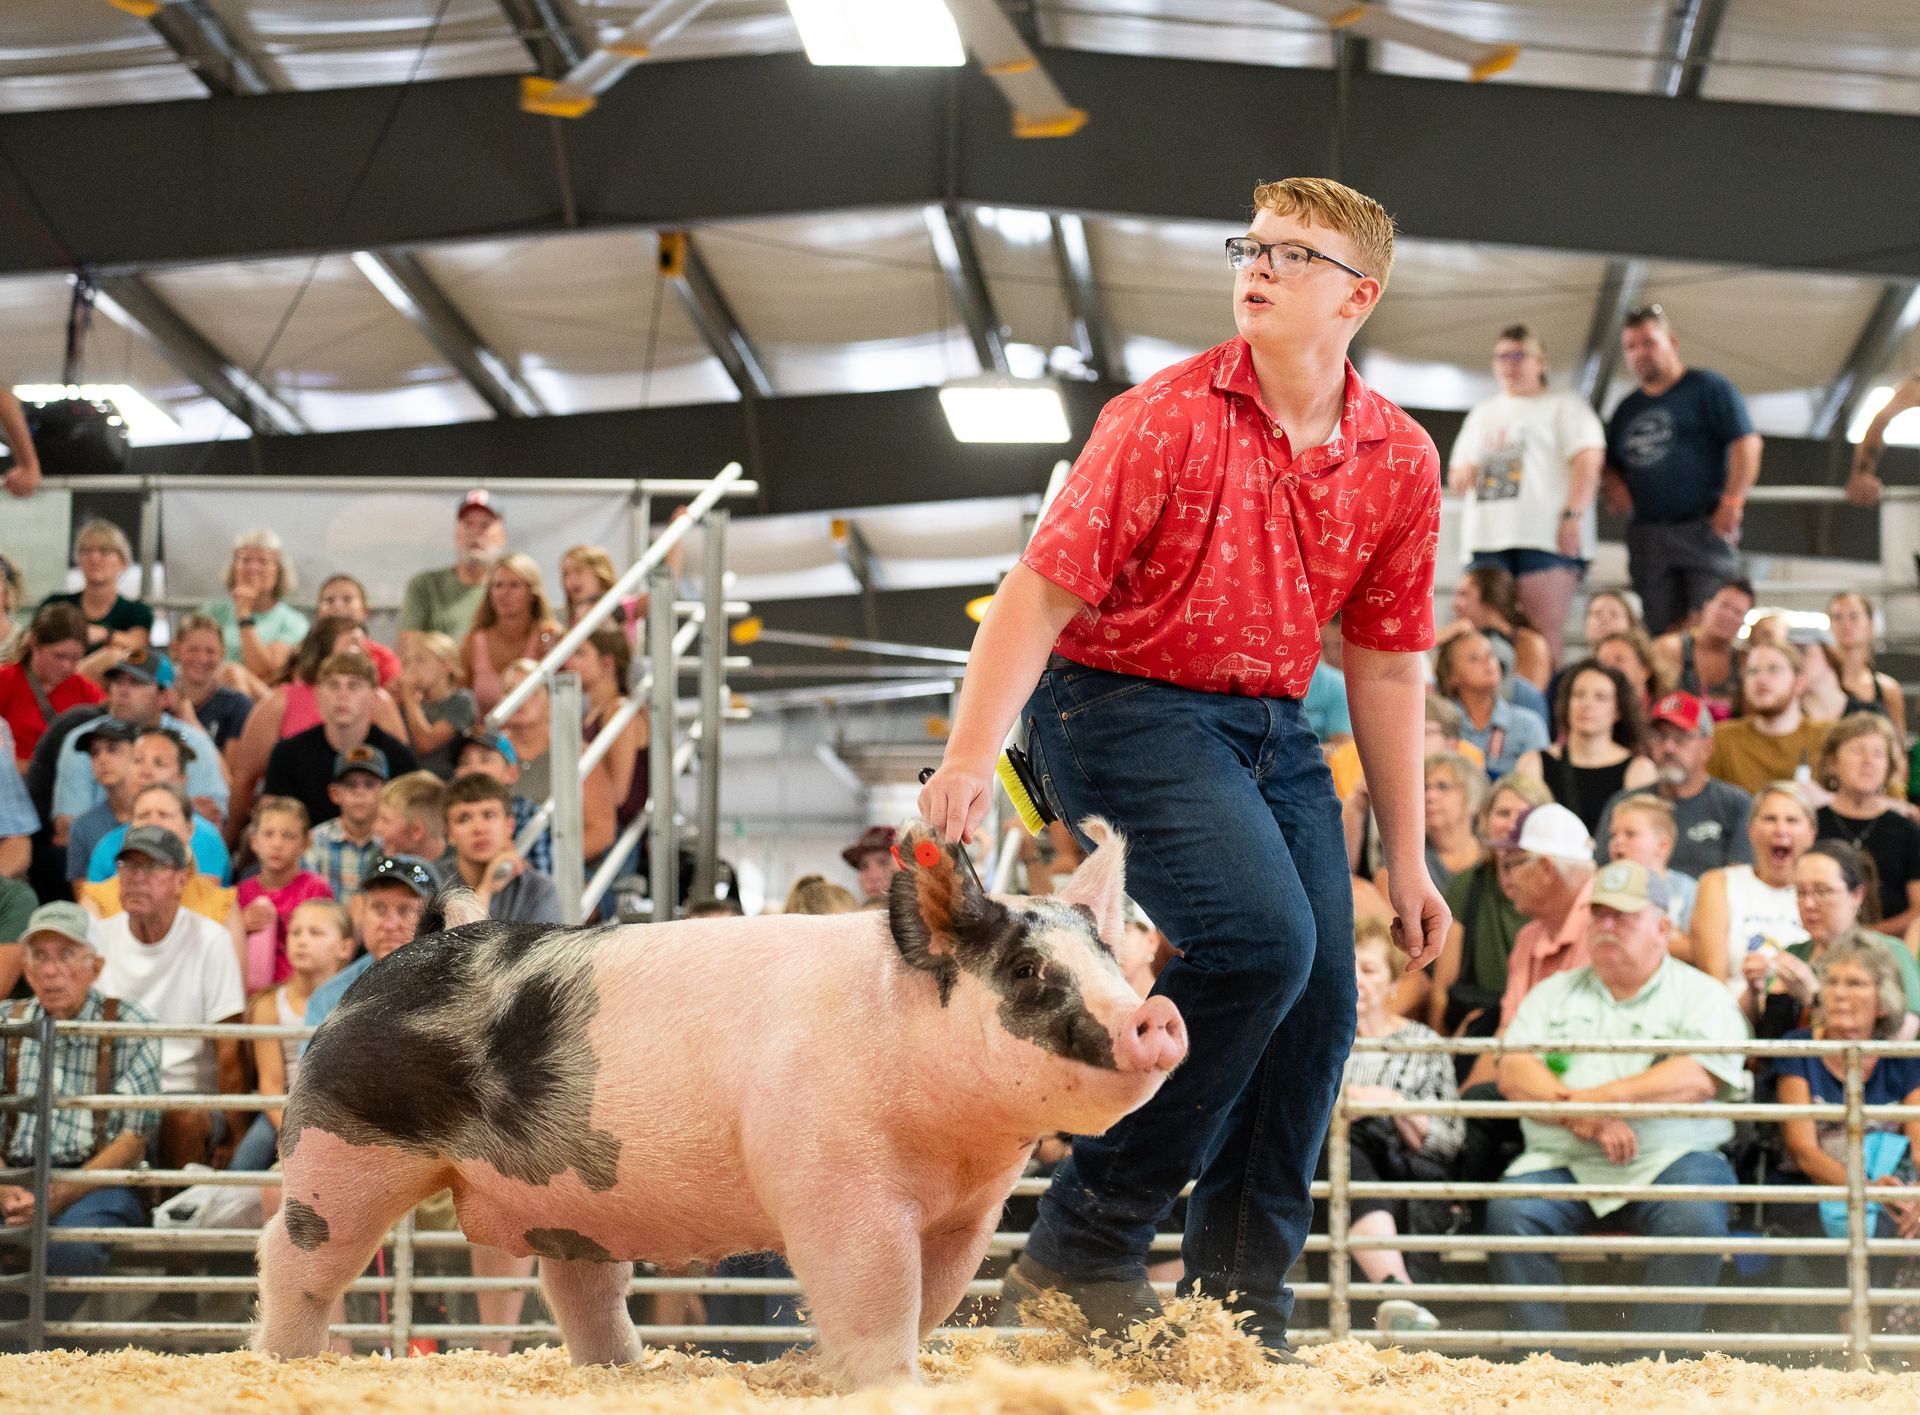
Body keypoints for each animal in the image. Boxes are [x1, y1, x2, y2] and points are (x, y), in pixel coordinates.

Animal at [254, 818, 1185, 1387]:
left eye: (1110, 961)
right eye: (1028, 971)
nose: (1154, 1015)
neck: (950, 1142)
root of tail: (396, 960)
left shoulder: (973, 1212)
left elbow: (935, 1298)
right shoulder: (833, 1186)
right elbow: (876, 1288)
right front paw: (884, 1383)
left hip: (571, 1197)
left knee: (581, 1286)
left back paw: (625, 1371)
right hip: (344, 1146)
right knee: (291, 1252)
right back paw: (286, 1364)